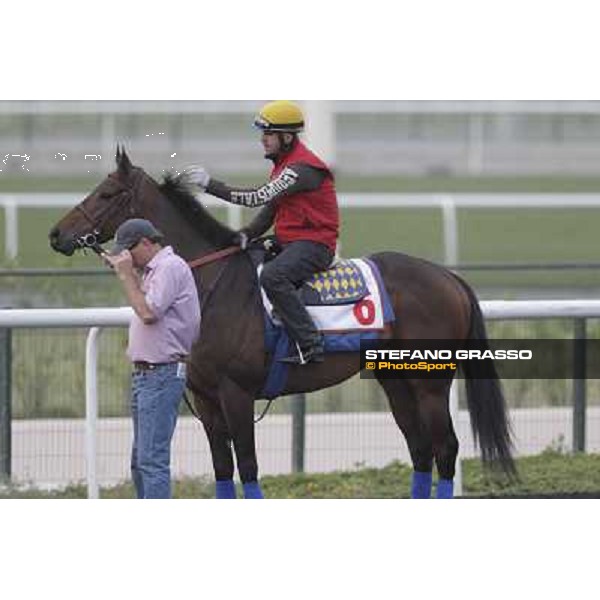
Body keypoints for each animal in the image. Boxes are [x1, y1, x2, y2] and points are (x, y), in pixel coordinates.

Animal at [49, 148, 512, 500]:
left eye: (106, 193)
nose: (56, 235)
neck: (210, 282)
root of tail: (448, 276)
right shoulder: (205, 399)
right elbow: (222, 470)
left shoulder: (236, 394)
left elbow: (249, 468)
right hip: (394, 379)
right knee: (419, 449)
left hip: (429, 381)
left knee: (445, 448)